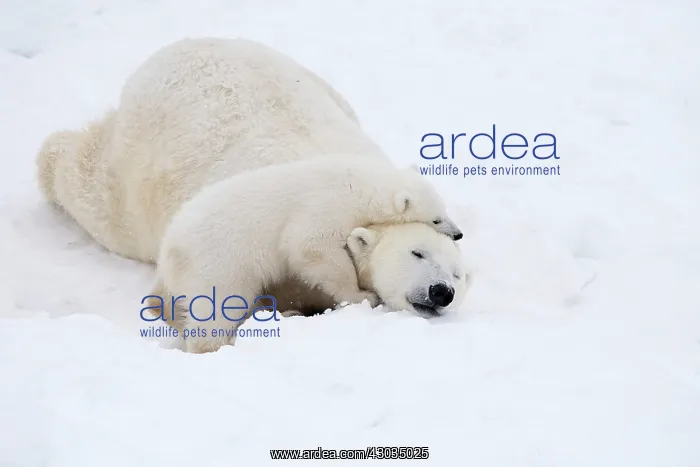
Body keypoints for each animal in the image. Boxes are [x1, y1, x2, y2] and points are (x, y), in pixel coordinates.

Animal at [36, 37, 462, 265]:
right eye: (419, 254)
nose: (458, 234)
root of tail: (176, 48)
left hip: (319, 84)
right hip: (136, 172)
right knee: (97, 196)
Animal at [147, 157, 464, 354]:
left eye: (445, 210)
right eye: (436, 219)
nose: (459, 233)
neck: (358, 182)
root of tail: (168, 253)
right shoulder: (324, 207)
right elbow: (312, 248)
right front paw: (364, 295)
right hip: (218, 264)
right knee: (217, 309)